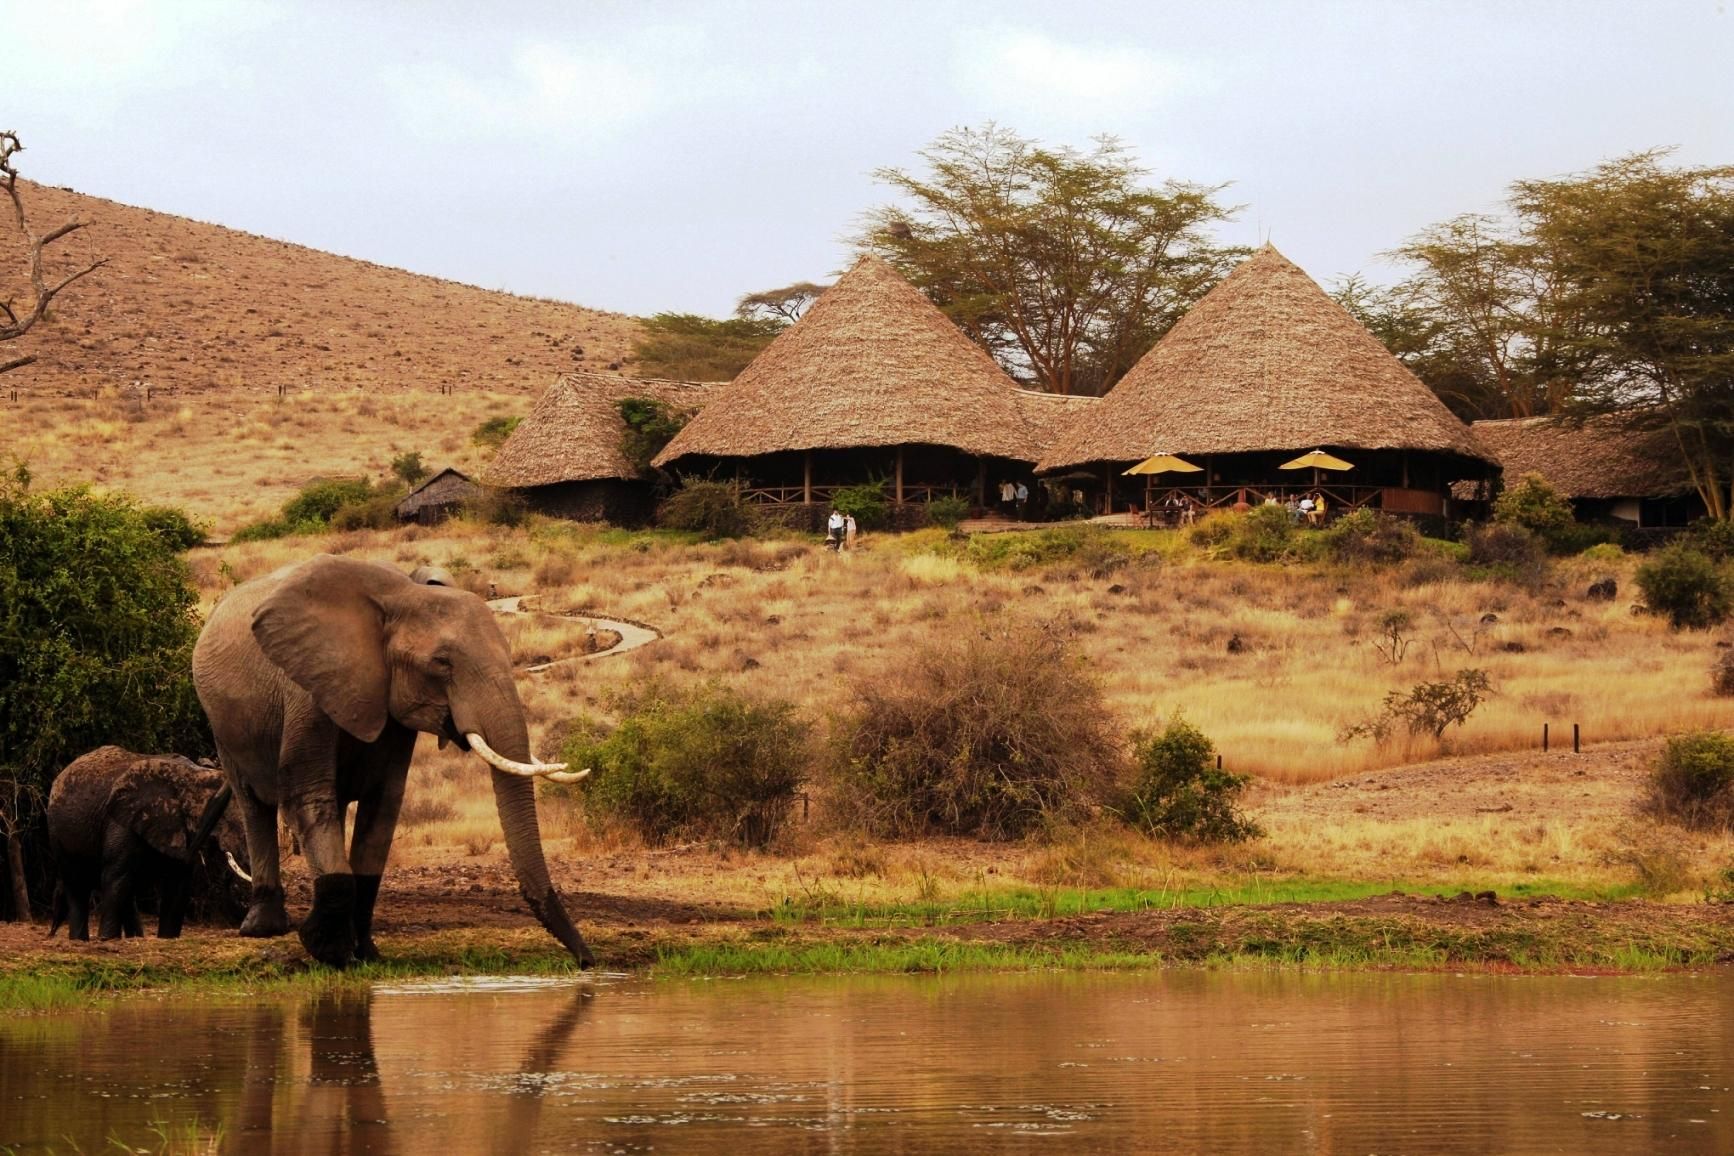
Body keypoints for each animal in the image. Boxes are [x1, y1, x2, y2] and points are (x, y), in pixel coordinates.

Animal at [48, 752, 247, 942]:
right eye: (224, 819)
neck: (192, 774)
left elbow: (177, 886)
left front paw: (167, 938)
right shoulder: (122, 823)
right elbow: (114, 878)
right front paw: (106, 939)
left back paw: (134, 937)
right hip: (59, 836)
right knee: (79, 885)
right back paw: (80, 940)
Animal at [192, 554, 589, 970]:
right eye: (442, 663)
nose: (586, 961)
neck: (401, 596)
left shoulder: (394, 713)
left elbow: (383, 806)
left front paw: (365, 953)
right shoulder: (306, 689)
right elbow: (308, 796)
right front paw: (329, 951)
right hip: (222, 725)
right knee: (254, 806)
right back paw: (263, 928)